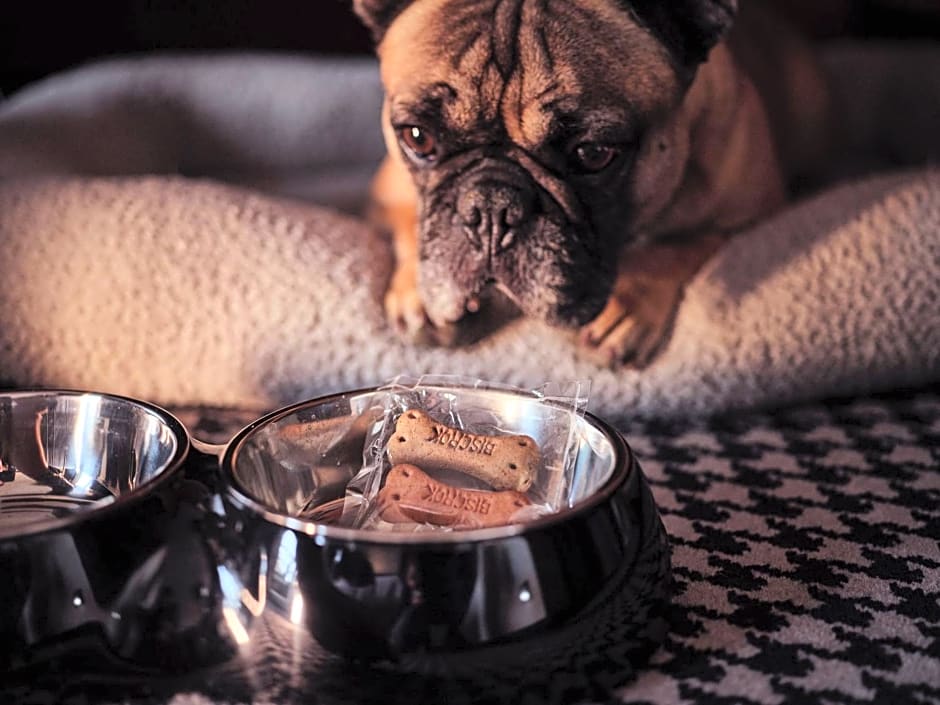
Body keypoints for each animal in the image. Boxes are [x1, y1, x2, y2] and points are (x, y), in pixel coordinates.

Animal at [348, 4, 828, 368]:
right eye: (417, 137)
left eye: (594, 154)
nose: (491, 207)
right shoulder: (385, 194)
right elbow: (414, 223)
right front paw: (421, 294)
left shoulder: (749, 214)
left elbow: (674, 246)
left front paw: (626, 306)